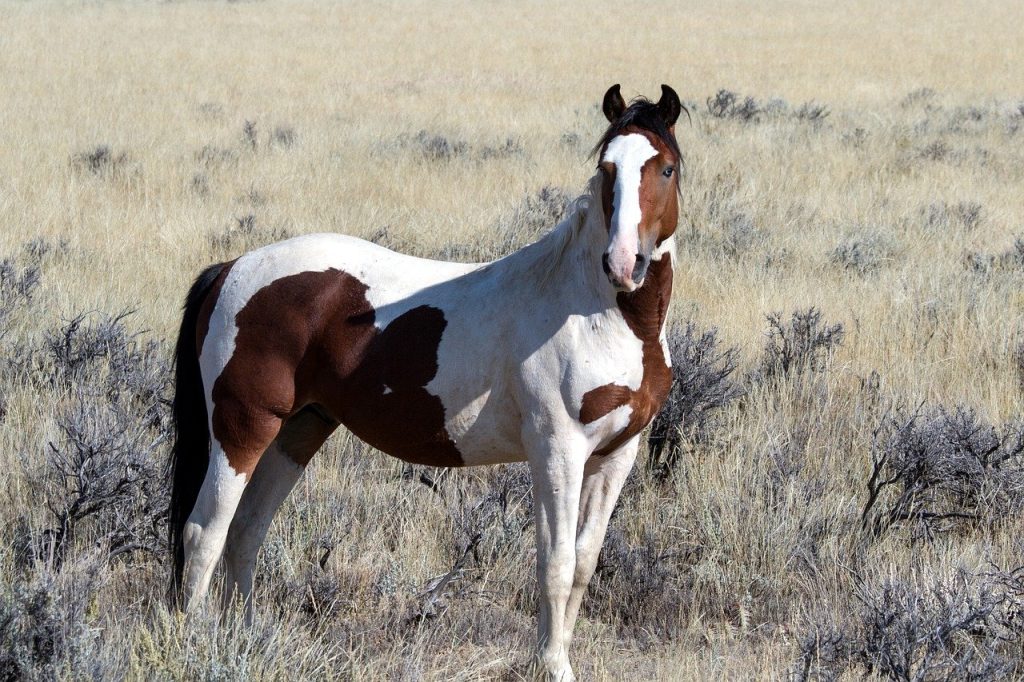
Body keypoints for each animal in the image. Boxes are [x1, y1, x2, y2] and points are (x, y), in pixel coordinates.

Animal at [172, 82, 684, 675]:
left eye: (666, 168)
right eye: (607, 168)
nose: (624, 264)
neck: (594, 311)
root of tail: (231, 268)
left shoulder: (616, 454)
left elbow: (581, 563)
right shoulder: (557, 450)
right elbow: (554, 565)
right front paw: (552, 667)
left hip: (297, 432)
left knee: (245, 533)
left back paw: (248, 640)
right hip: (242, 430)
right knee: (204, 533)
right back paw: (197, 644)